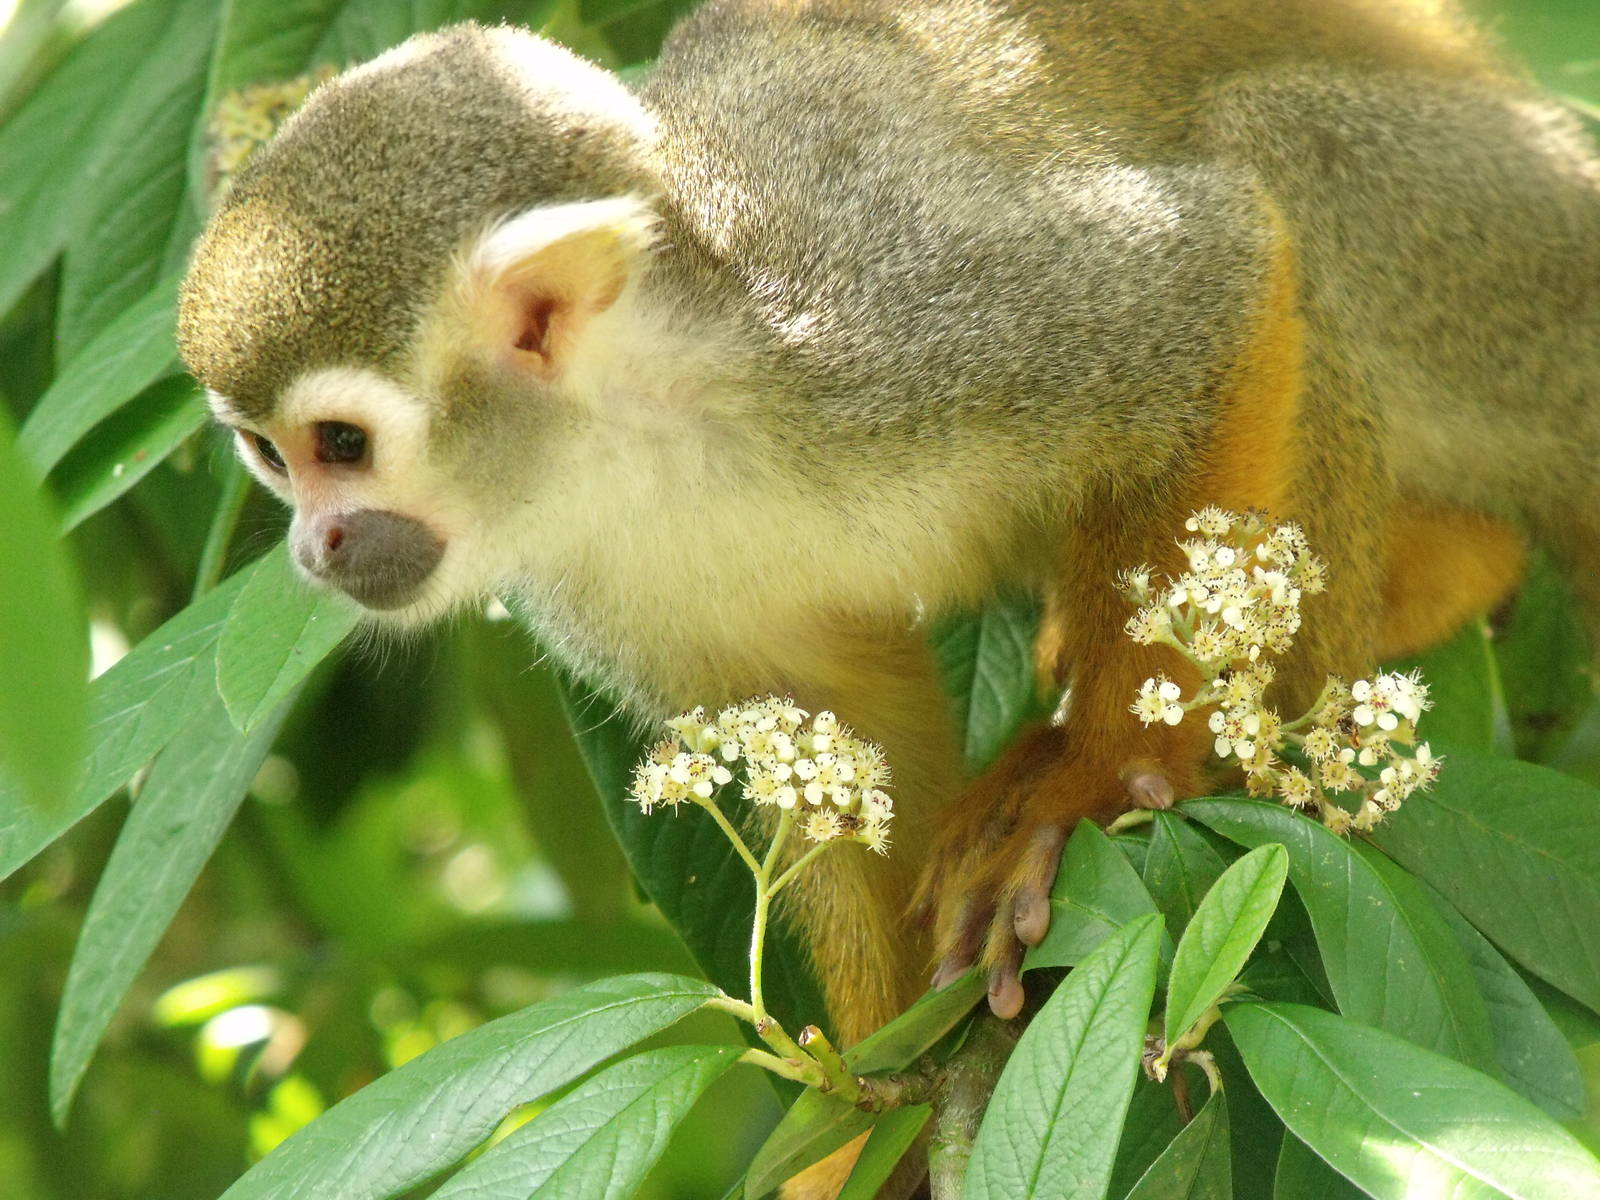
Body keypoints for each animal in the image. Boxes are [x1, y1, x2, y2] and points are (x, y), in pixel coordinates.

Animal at [178, 0, 1599, 1098]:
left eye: (342, 445)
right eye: (267, 458)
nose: (314, 549)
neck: (647, 421)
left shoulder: (895, 321)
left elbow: (1218, 270)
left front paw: (1089, 776)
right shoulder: (587, 577)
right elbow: (830, 729)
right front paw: (868, 1105)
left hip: (1518, 284)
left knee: (1276, 150)